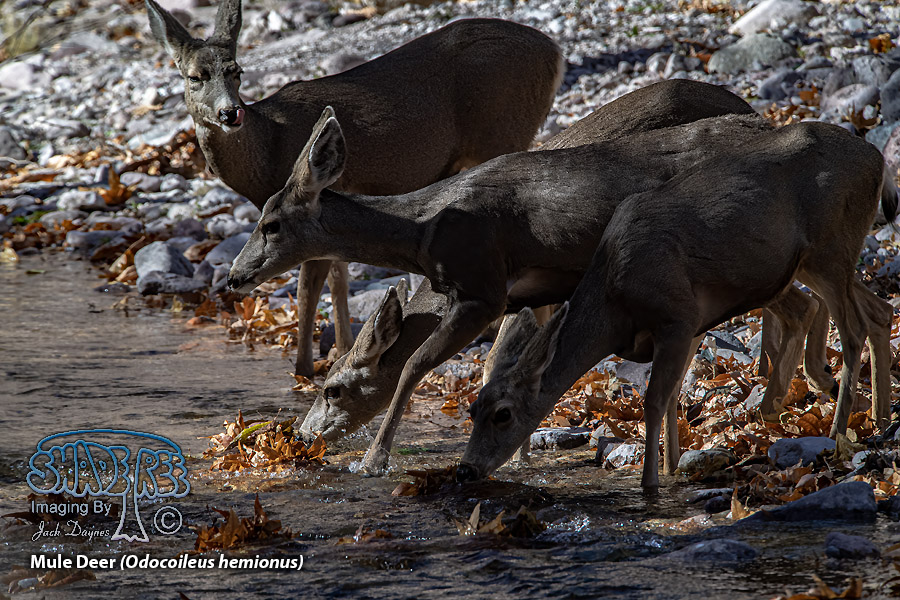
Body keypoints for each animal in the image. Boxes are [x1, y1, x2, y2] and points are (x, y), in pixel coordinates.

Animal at [145, 0, 564, 377]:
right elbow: (339, 275)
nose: (231, 113)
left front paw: (303, 370)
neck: (268, 147)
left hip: (504, 129)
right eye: (195, 76)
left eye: (237, 73)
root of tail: (556, 53)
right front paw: (342, 351)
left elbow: (309, 286)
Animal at [459, 121, 896, 491]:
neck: (615, 298)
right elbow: (672, 397)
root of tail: (878, 160)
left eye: (503, 413)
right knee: (877, 310)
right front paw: (671, 468)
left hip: (830, 247)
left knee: (853, 329)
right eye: (473, 409)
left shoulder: (677, 317)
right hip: (813, 263)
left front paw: (650, 484)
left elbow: (654, 401)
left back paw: (839, 433)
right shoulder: (687, 324)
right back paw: (877, 418)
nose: (467, 469)